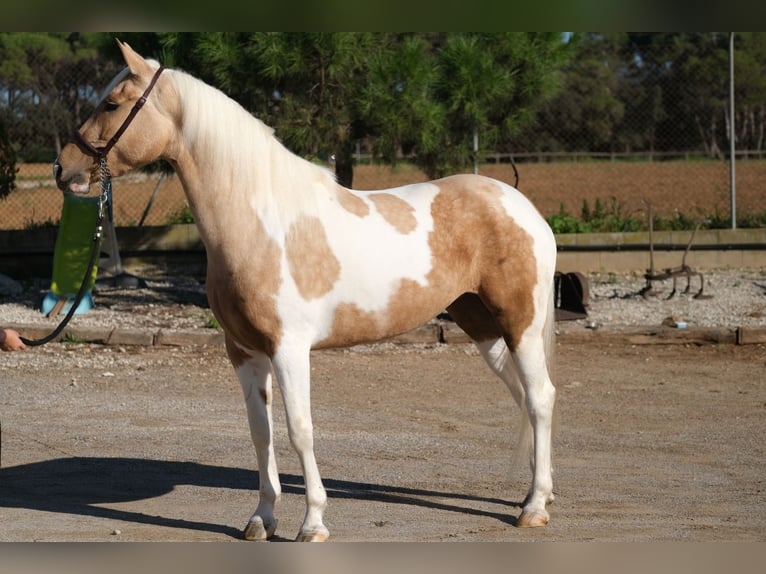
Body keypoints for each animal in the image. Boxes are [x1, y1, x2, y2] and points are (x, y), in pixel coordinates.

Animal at [54, 41, 560, 544]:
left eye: (112, 104)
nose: (63, 168)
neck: (260, 221)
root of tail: (522, 205)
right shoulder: (243, 351)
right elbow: (261, 433)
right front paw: (262, 519)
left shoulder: (289, 348)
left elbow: (300, 429)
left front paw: (313, 522)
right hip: (482, 326)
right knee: (523, 396)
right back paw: (538, 493)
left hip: (521, 324)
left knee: (540, 398)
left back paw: (534, 507)